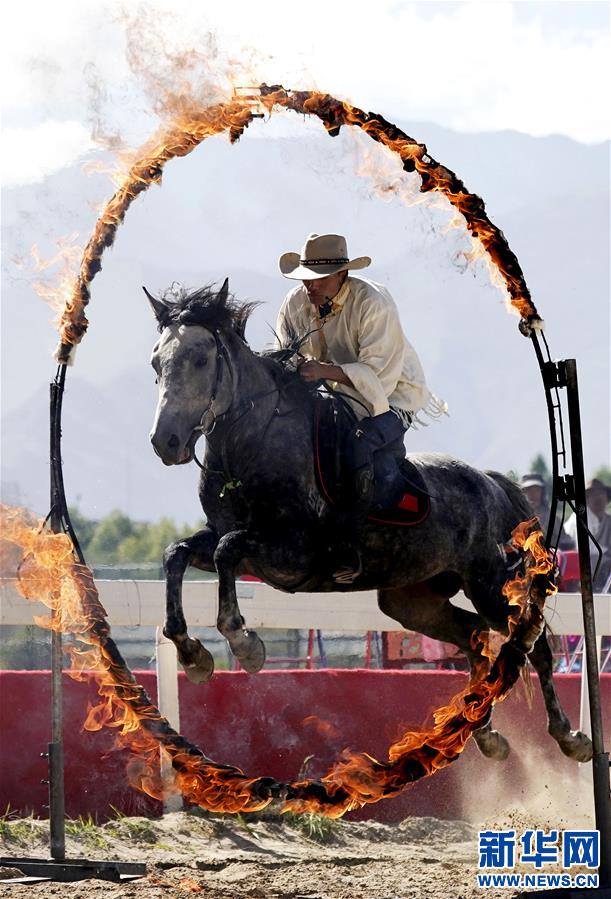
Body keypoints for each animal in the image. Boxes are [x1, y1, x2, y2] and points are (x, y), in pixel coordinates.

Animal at [146, 282, 592, 768]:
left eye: (200, 360)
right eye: (156, 362)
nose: (165, 441)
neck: (252, 450)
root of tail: (493, 484)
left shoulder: (292, 554)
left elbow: (227, 548)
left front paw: (244, 643)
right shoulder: (235, 545)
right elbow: (178, 554)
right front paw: (192, 654)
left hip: (493, 588)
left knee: (534, 646)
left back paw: (571, 737)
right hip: (413, 602)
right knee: (473, 640)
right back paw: (484, 735)